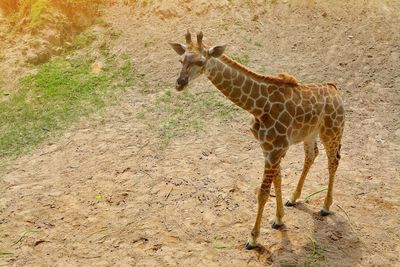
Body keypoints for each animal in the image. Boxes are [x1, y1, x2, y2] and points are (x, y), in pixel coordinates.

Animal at [169, 31, 344, 251]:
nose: (179, 83)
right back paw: (293, 198)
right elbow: (277, 180)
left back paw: (325, 207)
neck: (258, 107)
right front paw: (279, 219)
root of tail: (335, 89)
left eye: (201, 61)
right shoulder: (269, 148)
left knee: (333, 161)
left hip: (332, 130)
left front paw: (253, 239)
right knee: (312, 155)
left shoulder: (275, 149)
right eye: (181, 60)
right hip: (310, 133)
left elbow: (262, 192)